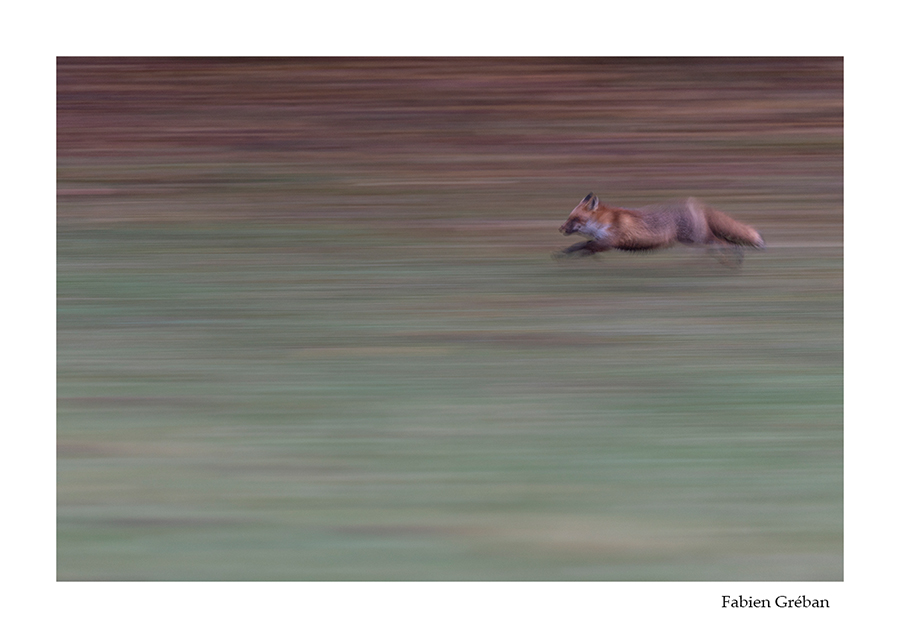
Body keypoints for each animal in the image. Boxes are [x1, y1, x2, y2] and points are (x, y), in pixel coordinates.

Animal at [557, 193, 765, 264]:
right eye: (569, 218)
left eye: (575, 219)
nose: (560, 229)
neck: (604, 222)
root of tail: (694, 203)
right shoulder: (602, 242)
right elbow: (583, 246)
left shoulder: (609, 242)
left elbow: (582, 246)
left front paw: (566, 254)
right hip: (694, 240)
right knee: (721, 245)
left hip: (697, 239)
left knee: (723, 242)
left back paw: (734, 259)